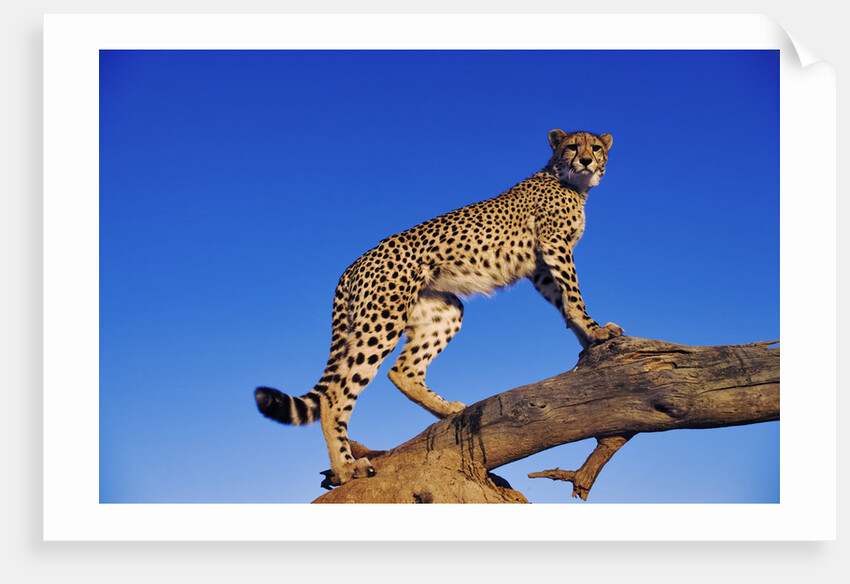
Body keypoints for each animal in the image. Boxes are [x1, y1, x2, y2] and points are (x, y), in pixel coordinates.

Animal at [254, 129, 624, 484]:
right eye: (573, 147)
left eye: (596, 147)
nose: (587, 160)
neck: (571, 183)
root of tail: (354, 264)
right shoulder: (554, 245)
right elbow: (573, 295)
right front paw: (596, 331)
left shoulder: (541, 268)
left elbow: (563, 301)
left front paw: (588, 338)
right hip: (381, 322)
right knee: (334, 396)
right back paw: (346, 468)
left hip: (442, 312)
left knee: (401, 371)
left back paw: (449, 411)